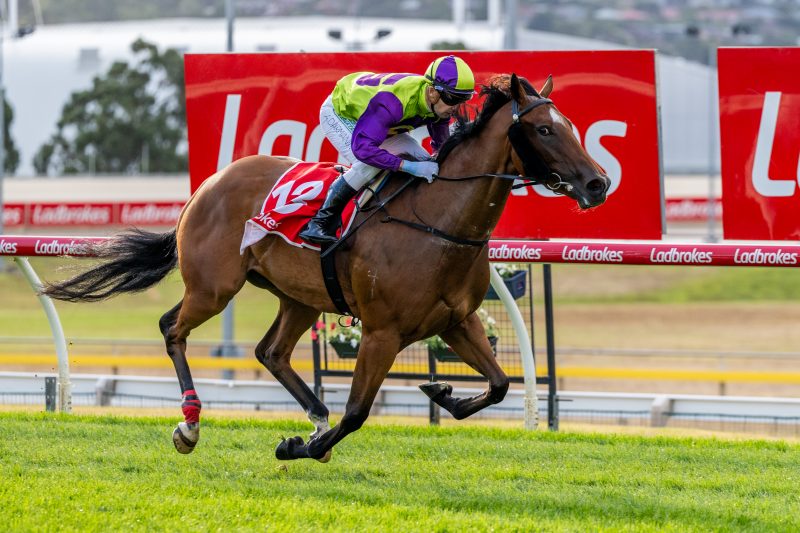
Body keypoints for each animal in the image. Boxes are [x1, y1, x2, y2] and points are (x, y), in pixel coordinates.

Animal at [44, 73, 610, 462]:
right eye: (543, 129)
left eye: (571, 127)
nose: (598, 183)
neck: (439, 221)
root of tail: (206, 185)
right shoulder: (382, 332)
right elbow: (358, 412)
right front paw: (301, 447)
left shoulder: (457, 320)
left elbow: (499, 384)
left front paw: (441, 391)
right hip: (213, 287)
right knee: (171, 329)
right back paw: (191, 425)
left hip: (299, 296)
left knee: (270, 352)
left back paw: (315, 416)